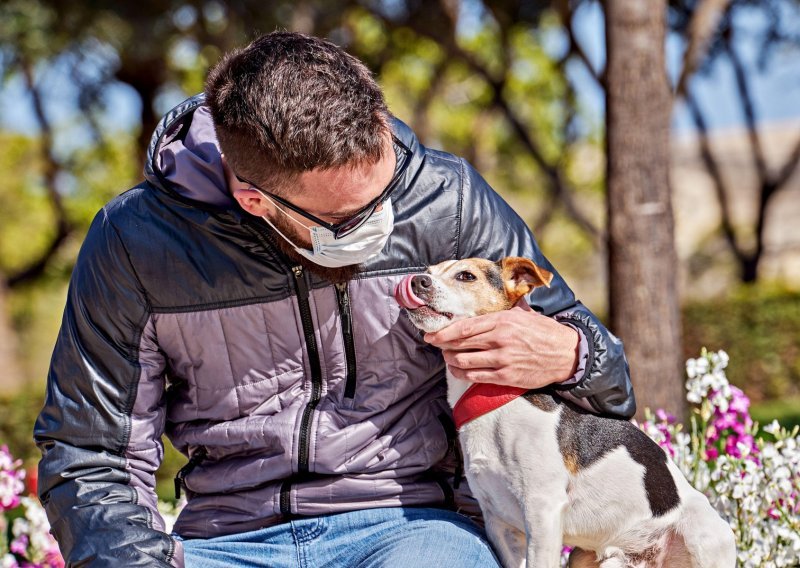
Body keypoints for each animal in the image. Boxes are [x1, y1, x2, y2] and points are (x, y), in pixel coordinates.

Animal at [394, 258, 736, 568]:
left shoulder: (541, 510)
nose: (417, 280)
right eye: (429, 269)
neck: (493, 398)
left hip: (702, 538)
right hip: (590, 559)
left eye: (466, 276)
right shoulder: (499, 523)